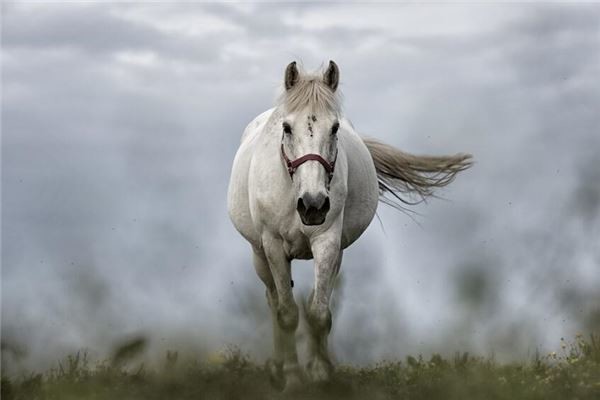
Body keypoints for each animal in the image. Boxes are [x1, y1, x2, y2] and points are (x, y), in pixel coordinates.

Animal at [227, 61, 472, 390]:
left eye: (334, 128)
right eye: (287, 128)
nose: (313, 205)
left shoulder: (328, 242)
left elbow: (319, 313)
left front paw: (320, 373)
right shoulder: (273, 246)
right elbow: (287, 313)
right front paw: (292, 377)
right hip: (259, 254)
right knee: (273, 300)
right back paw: (277, 367)